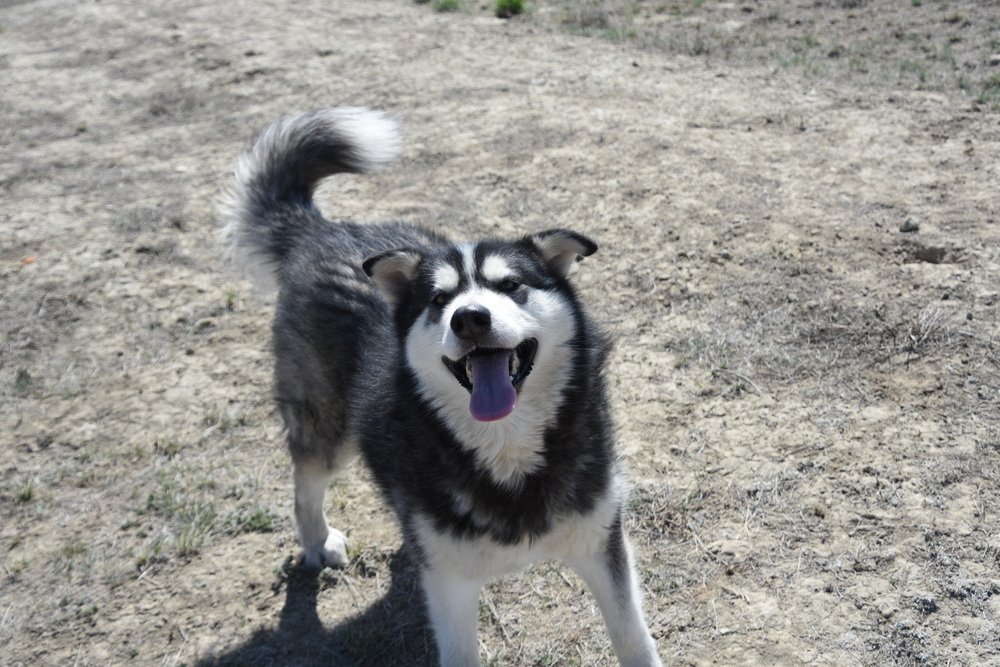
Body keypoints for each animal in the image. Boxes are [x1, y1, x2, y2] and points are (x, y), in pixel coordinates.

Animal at [227, 107, 664, 664]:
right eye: (439, 299)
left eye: (510, 285)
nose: (469, 318)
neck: (506, 450)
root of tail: (322, 230)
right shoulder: (450, 584)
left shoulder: (602, 542)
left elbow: (634, 640)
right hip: (328, 425)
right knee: (306, 480)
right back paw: (317, 541)